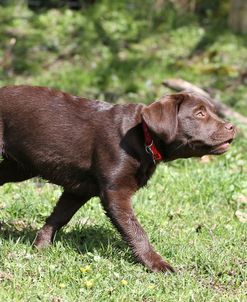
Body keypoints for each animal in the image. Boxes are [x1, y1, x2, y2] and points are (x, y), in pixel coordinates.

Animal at [0, 85, 235, 272]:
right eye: (200, 114)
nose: (232, 126)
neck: (143, 137)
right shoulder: (115, 192)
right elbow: (136, 232)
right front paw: (157, 264)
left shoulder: (78, 190)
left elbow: (59, 217)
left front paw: (40, 248)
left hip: (19, 167)